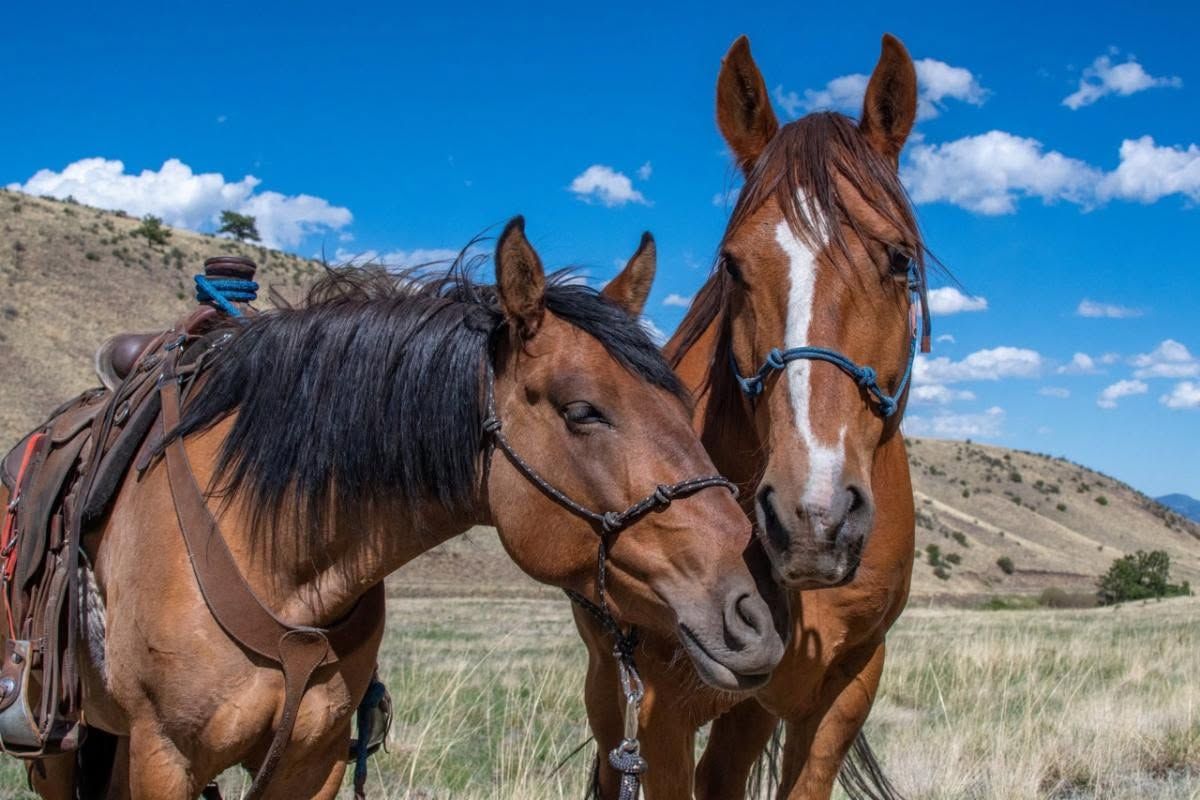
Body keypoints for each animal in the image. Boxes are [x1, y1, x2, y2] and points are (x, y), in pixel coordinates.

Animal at [3, 217, 788, 799]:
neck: (272, 552)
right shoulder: (164, 755)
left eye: (682, 405)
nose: (753, 620)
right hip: (60, 745)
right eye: (582, 411)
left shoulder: (313, 762)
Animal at [577, 35, 927, 799]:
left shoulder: (845, 688)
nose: (813, 518)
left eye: (898, 259)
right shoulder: (658, 705)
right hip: (613, 690)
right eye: (734, 267)